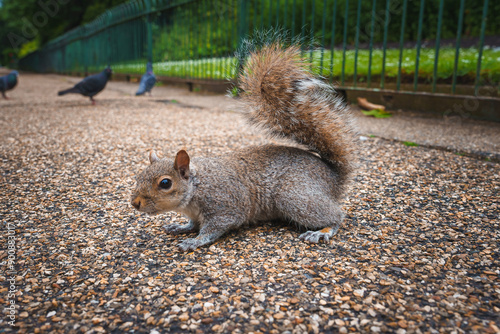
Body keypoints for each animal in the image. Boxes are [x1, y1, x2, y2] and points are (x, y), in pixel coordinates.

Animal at [129, 41, 356, 250]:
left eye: (165, 183)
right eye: (139, 176)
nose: (135, 203)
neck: (197, 185)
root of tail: (333, 177)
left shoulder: (226, 205)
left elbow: (215, 227)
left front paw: (195, 241)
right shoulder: (196, 213)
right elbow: (193, 223)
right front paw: (181, 227)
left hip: (295, 196)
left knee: (337, 215)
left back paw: (323, 231)